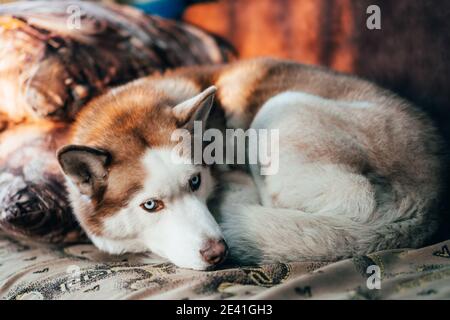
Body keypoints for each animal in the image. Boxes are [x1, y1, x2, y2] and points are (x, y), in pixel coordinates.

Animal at [58, 58, 444, 270]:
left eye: (195, 181)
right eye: (150, 205)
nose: (218, 253)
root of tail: (432, 198)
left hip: (279, 110)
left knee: (350, 200)